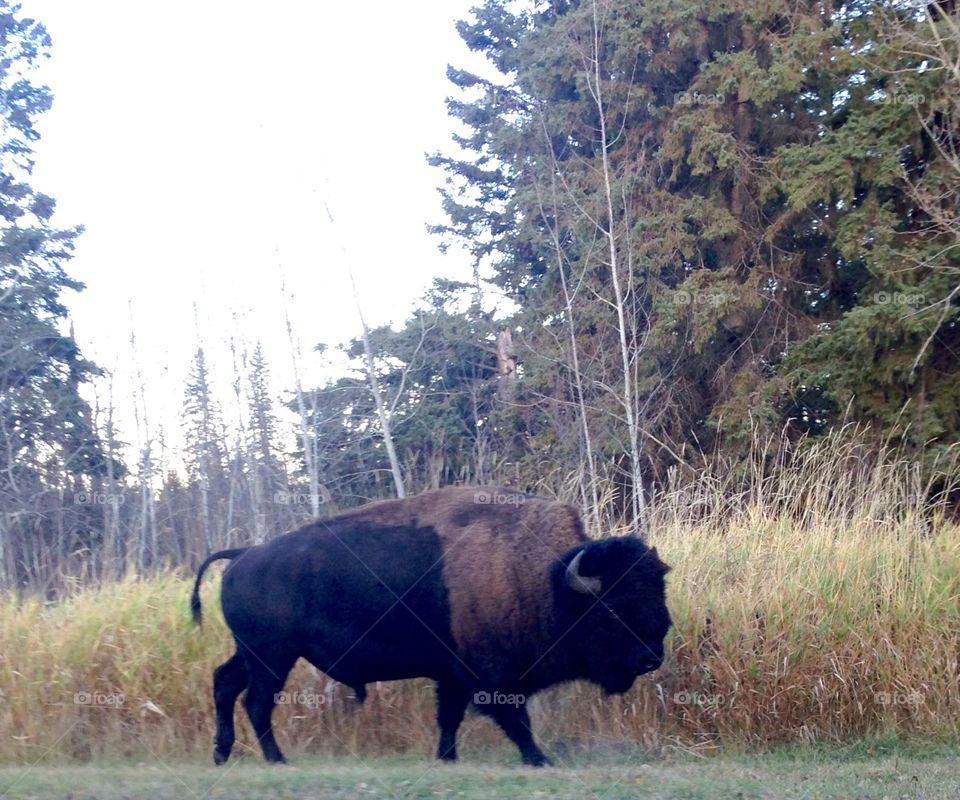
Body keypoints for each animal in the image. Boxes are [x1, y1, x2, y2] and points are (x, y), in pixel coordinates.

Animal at [190, 486, 671, 766]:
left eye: (658, 595)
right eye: (612, 608)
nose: (650, 658)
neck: (543, 577)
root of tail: (244, 555)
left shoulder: (452, 674)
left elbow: (449, 718)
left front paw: (447, 758)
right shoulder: (491, 675)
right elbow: (514, 718)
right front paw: (540, 760)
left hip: (253, 652)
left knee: (225, 682)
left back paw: (221, 754)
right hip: (273, 655)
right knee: (256, 701)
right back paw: (276, 760)